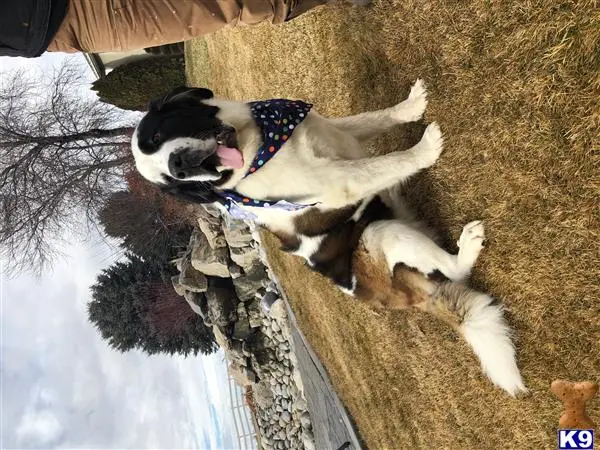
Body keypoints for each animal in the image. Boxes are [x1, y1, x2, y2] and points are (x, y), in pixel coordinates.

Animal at [130, 81, 440, 236]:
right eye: (175, 183)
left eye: (157, 135)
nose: (178, 166)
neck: (261, 148)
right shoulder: (336, 179)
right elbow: (384, 163)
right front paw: (426, 148)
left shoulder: (335, 130)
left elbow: (372, 119)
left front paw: (412, 106)